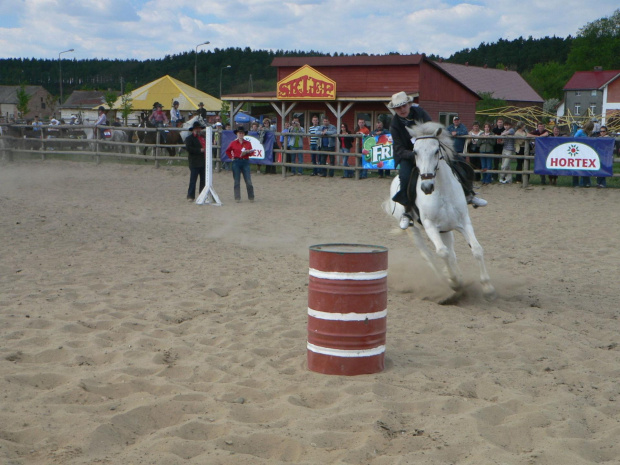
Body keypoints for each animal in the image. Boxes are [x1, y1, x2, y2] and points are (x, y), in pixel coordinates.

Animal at [386, 121, 496, 300]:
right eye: (415, 152)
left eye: (436, 151)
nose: (426, 187)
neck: (442, 190)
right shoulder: (430, 226)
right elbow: (442, 253)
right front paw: (454, 283)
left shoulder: (463, 222)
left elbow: (477, 249)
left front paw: (488, 288)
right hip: (414, 231)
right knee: (429, 256)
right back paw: (446, 281)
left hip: (446, 230)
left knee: (451, 253)